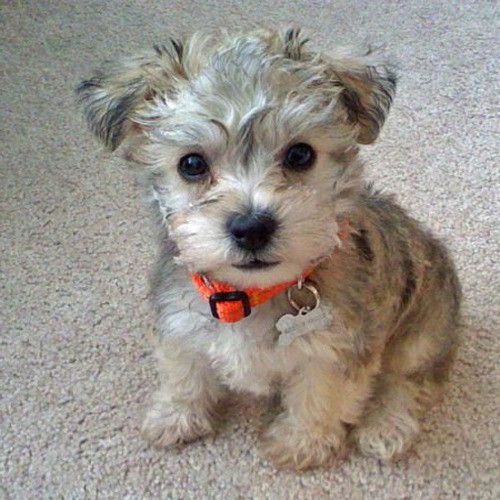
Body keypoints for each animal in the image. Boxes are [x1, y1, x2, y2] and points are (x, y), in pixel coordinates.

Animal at [77, 30, 460, 468]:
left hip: (423, 330)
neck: (247, 296)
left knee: (411, 380)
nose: (251, 228)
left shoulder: (335, 350)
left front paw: (301, 443)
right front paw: (176, 416)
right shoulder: (179, 324)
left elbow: (319, 397)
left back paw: (386, 426)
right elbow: (183, 371)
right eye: (191, 164)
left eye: (300, 154)